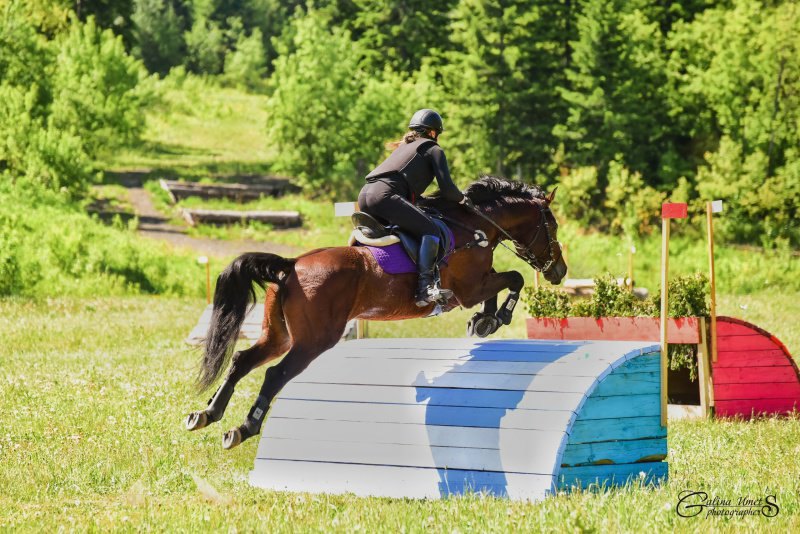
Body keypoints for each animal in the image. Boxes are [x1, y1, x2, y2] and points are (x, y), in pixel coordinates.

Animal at [186, 175, 568, 448]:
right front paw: (497, 317)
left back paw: (207, 413)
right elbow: (515, 277)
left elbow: (502, 283)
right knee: (275, 374)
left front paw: (484, 322)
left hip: (278, 334)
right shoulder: (470, 289)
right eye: (552, 227)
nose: (560, 271)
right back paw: (245, 427)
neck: (474, 227)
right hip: (314, 340)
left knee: (243, 360)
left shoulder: (476, 286)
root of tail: (291, 265)